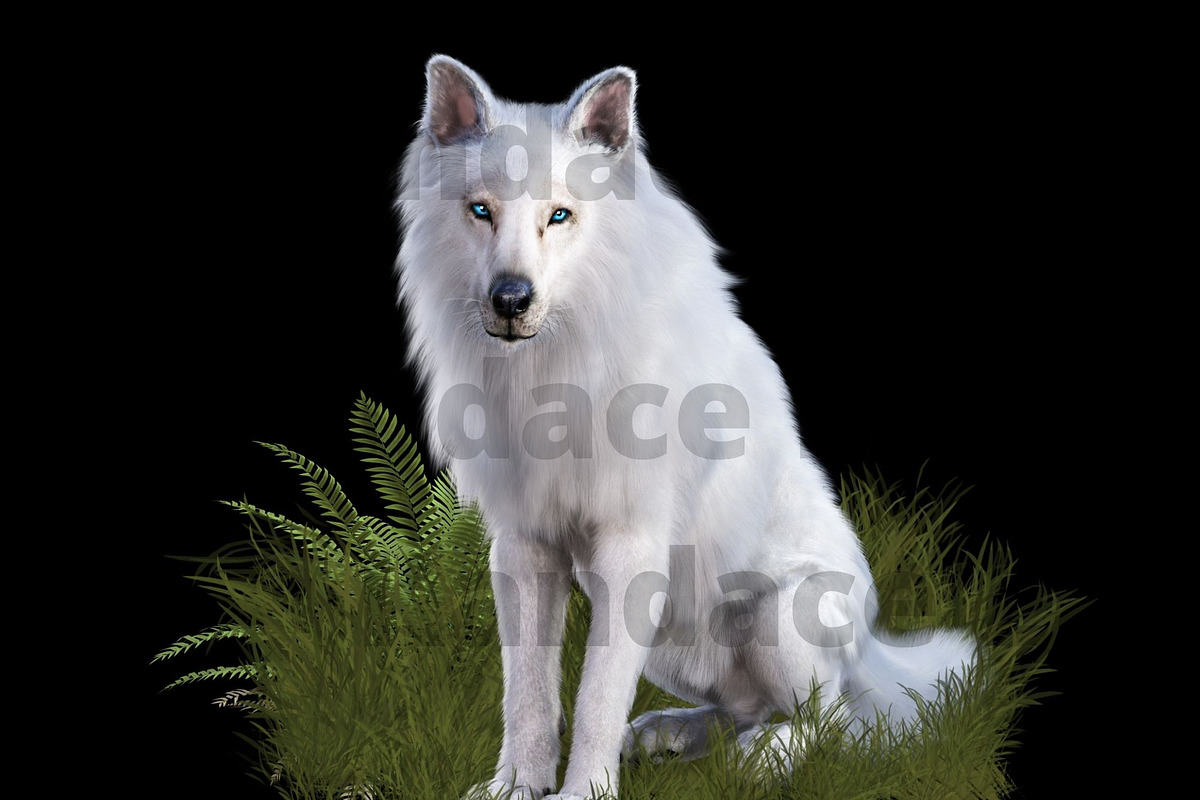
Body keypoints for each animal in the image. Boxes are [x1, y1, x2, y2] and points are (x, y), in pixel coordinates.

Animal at [394, 55, 977, 800]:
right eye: (480, 212)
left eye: (560, 215)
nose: (510, 300)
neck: (555, 372)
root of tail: (872, 649)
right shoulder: (525, 548)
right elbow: (527, 693)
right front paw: (518, 787)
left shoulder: (630, 549)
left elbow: (594, 699)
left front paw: (582, 793)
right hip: (673, 645)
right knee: (740, 710)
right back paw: (666, 735)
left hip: (777, 619)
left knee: (835, 722)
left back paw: (765, 758)